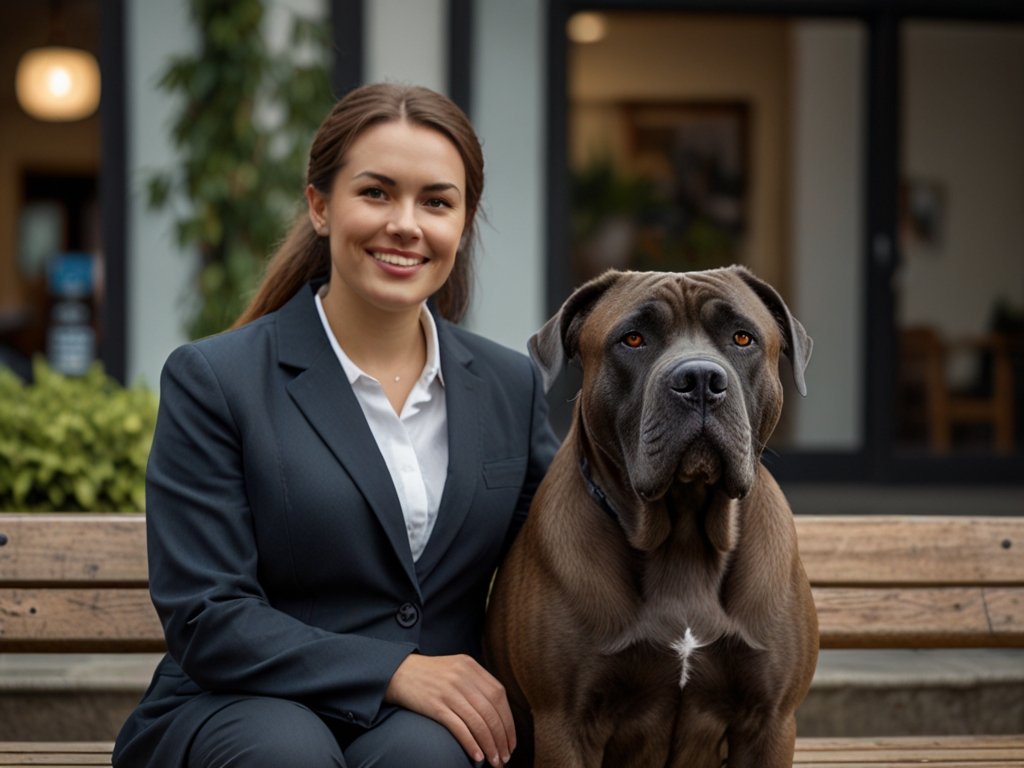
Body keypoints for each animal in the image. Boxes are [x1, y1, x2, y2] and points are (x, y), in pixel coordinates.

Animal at [483, 266, 819, 768]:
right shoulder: (565, 723)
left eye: (742, 337)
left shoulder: (770, 721)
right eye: (633, 339)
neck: (682, 535)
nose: (700, 378)